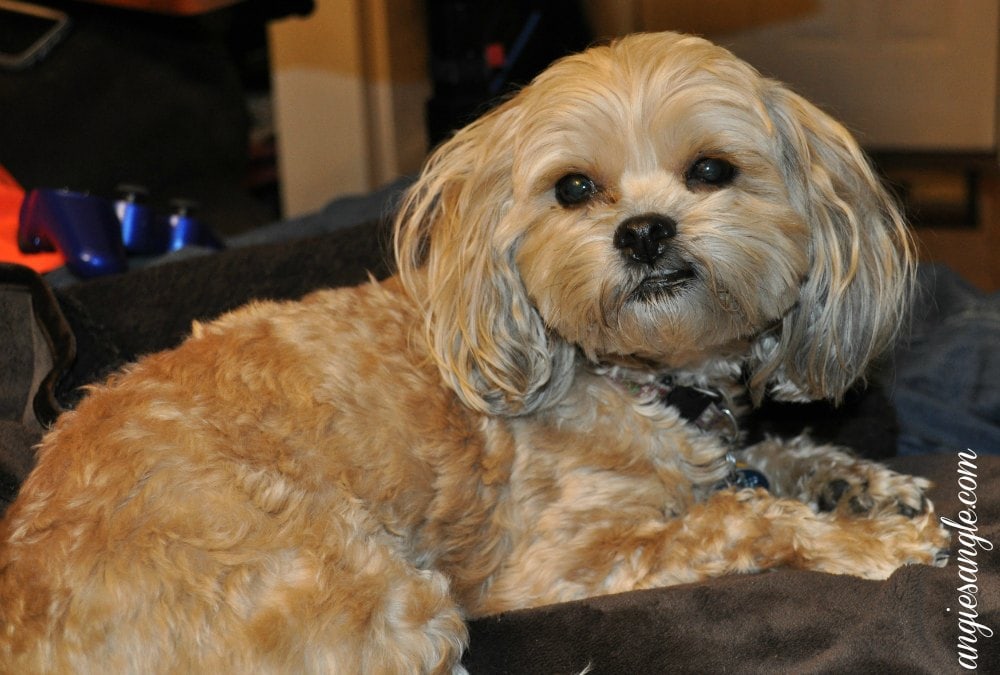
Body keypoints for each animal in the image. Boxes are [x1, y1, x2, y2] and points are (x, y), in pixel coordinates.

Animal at [0, 33, 948, 675]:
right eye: (573, 187)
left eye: (711, 169)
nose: (644, 232)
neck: (639, 376)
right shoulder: (561, 561)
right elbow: (741, 516)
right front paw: (880, 543)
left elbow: (777, 462)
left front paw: (862, 485)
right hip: (382, 596)